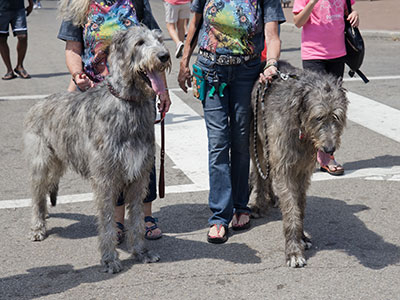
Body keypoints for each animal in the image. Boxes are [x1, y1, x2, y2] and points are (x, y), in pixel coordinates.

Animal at [23, 26, 170, 274]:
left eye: (160, 39)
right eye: (139, 42)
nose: (164, 56)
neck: (128, 103)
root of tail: (37, 104)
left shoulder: (139, 176)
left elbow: (138, 218)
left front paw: (141, 252)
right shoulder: (105, 179)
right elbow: (108, 221)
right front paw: (109, 259)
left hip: (59, 159)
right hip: (41, 161)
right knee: (36, 193)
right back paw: (37, 226)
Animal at [250, 61, 346, 268]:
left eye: (337, 116)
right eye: (318, 117)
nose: (329, 149)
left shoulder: (303, 170)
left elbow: (300, 205)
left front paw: (302, 238)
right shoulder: (285, 165)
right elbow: (291, 208)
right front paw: (294, 251)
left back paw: (272, 197)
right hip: (256, 139)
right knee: (260, 172)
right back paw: (259, 204)